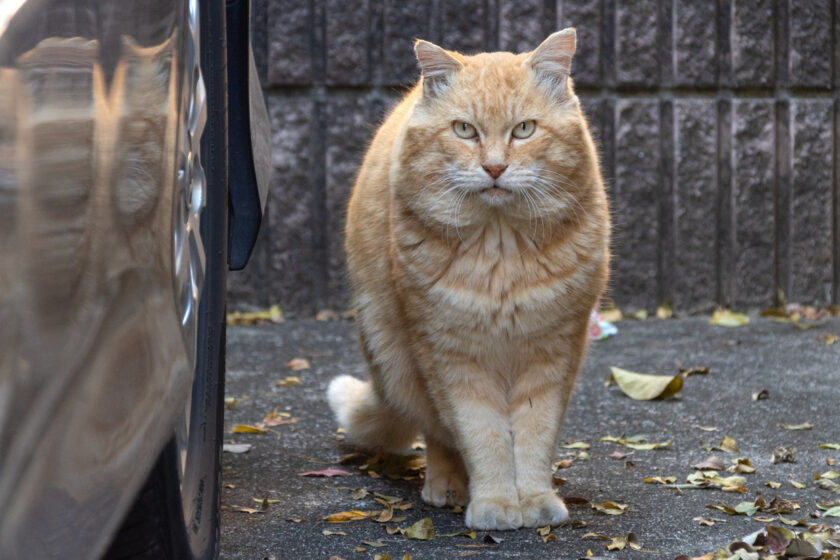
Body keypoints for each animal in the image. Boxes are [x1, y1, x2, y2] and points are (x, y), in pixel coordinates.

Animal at [328, 29, 612, 528]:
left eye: (524, 129)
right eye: (465, 130)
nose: (495, 168)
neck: (500, 253)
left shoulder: (553, 355)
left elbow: (535, 436)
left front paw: (534, 498)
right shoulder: (452, 359)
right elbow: (482, 436)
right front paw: (496, 500)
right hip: (399, 361)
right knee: (438, 434)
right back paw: (447, 486)